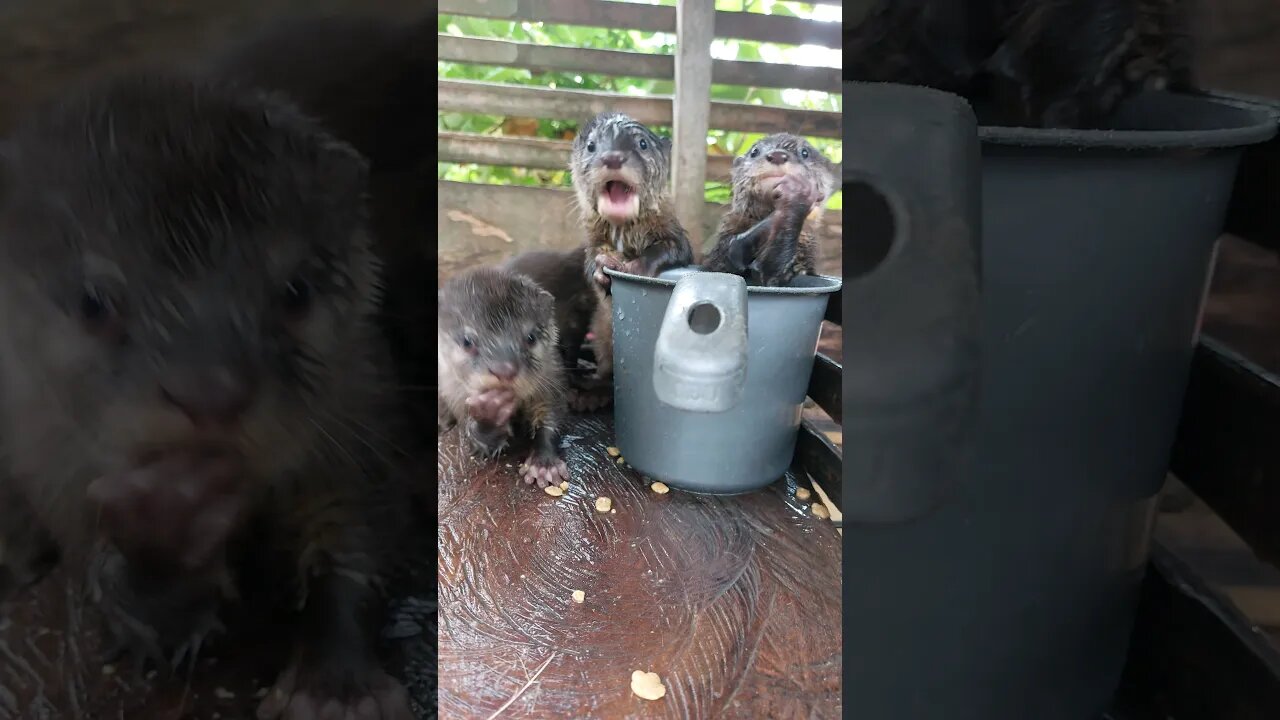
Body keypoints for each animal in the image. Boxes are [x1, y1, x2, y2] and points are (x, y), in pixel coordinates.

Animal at [0, 73, 412, 717]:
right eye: (93, 303)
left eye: (296, 290)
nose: (211, 394)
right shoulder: (45, 467)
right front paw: (164, 529)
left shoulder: (360, 423)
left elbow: (355, 547)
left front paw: (336, 687)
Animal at [437, 265, 568, 486]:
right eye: (467, 341)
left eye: (530, 337)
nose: (504, 370)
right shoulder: (453, 395)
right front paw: (490, 413)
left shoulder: (551, 379)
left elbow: (551, 418)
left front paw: (544, 463)